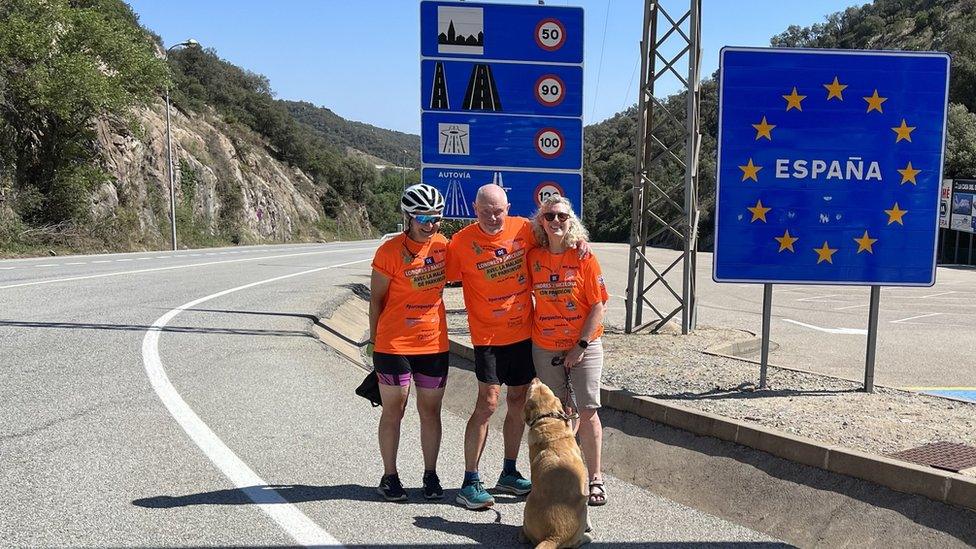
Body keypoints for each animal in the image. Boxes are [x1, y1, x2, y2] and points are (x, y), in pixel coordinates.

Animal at [524, 378, 592, 544]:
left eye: (544, 386)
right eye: (532, 388)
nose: (535, 378)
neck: (547, 420)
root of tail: (554, 536)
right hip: (583, 505)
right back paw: (586, 537)